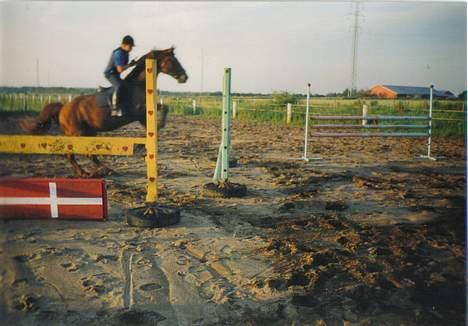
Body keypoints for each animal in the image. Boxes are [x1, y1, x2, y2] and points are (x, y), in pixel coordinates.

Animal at [19, 47, 188, 177]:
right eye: (172, 61)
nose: (184, 77)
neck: (138, 85)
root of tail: (63, 108)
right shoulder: (139, 112)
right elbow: (155, 119)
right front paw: (152, 135)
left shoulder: (144, 111)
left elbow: (164, 108)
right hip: (77, 133)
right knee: (77, 153)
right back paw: (87, 172)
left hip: (88, 132)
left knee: (85, 153)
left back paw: (102, 170)